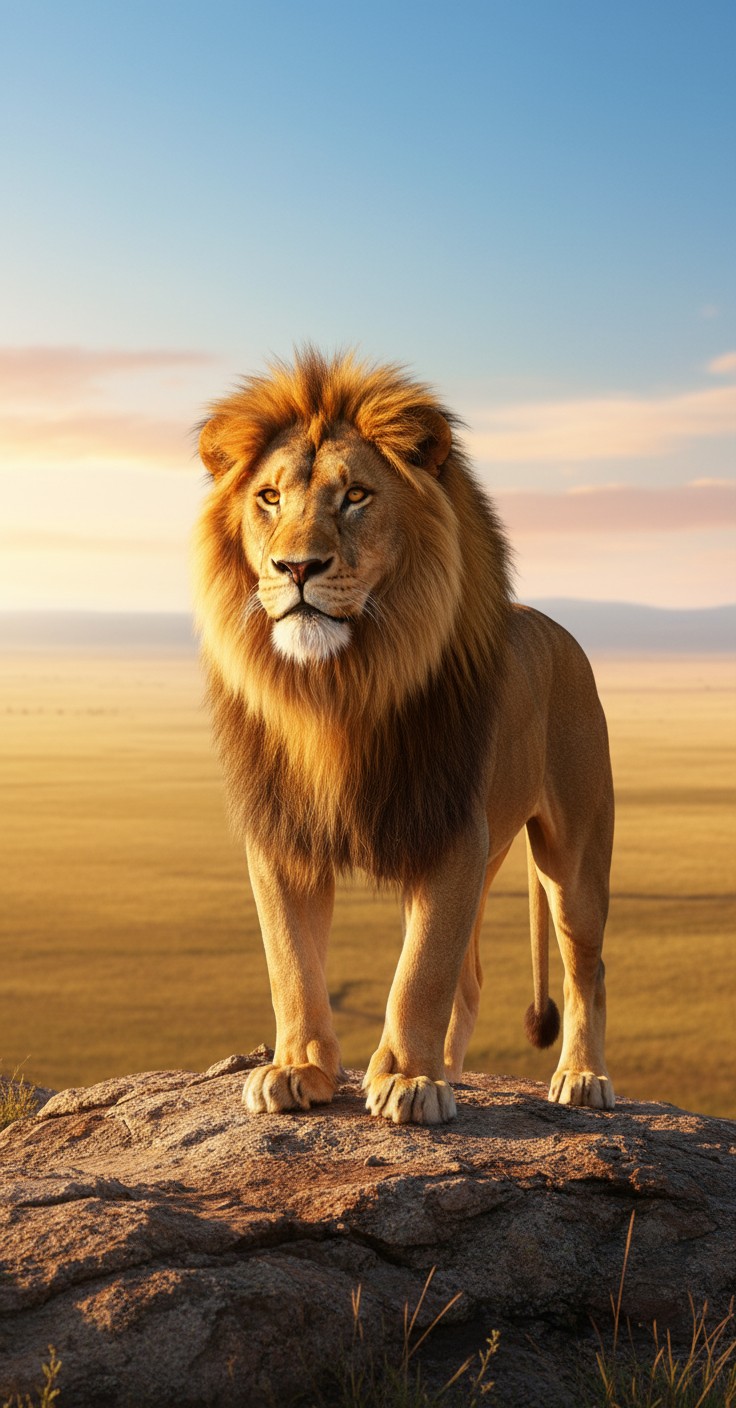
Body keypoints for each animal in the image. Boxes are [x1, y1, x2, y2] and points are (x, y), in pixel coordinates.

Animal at [193, 348, 615, 1124]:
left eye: (356, 495)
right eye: (269, 498)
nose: (296, 567)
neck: (338, 689)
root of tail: (555, 626)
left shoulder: (452, 831)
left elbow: (421, 972)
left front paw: (408, 1082)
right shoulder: (282, 833)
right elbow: (291, 962)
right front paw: (297, 1068)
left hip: (572, 852)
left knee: (586, 964)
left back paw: (581, 1077)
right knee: (471, 978)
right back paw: (456, 1071)